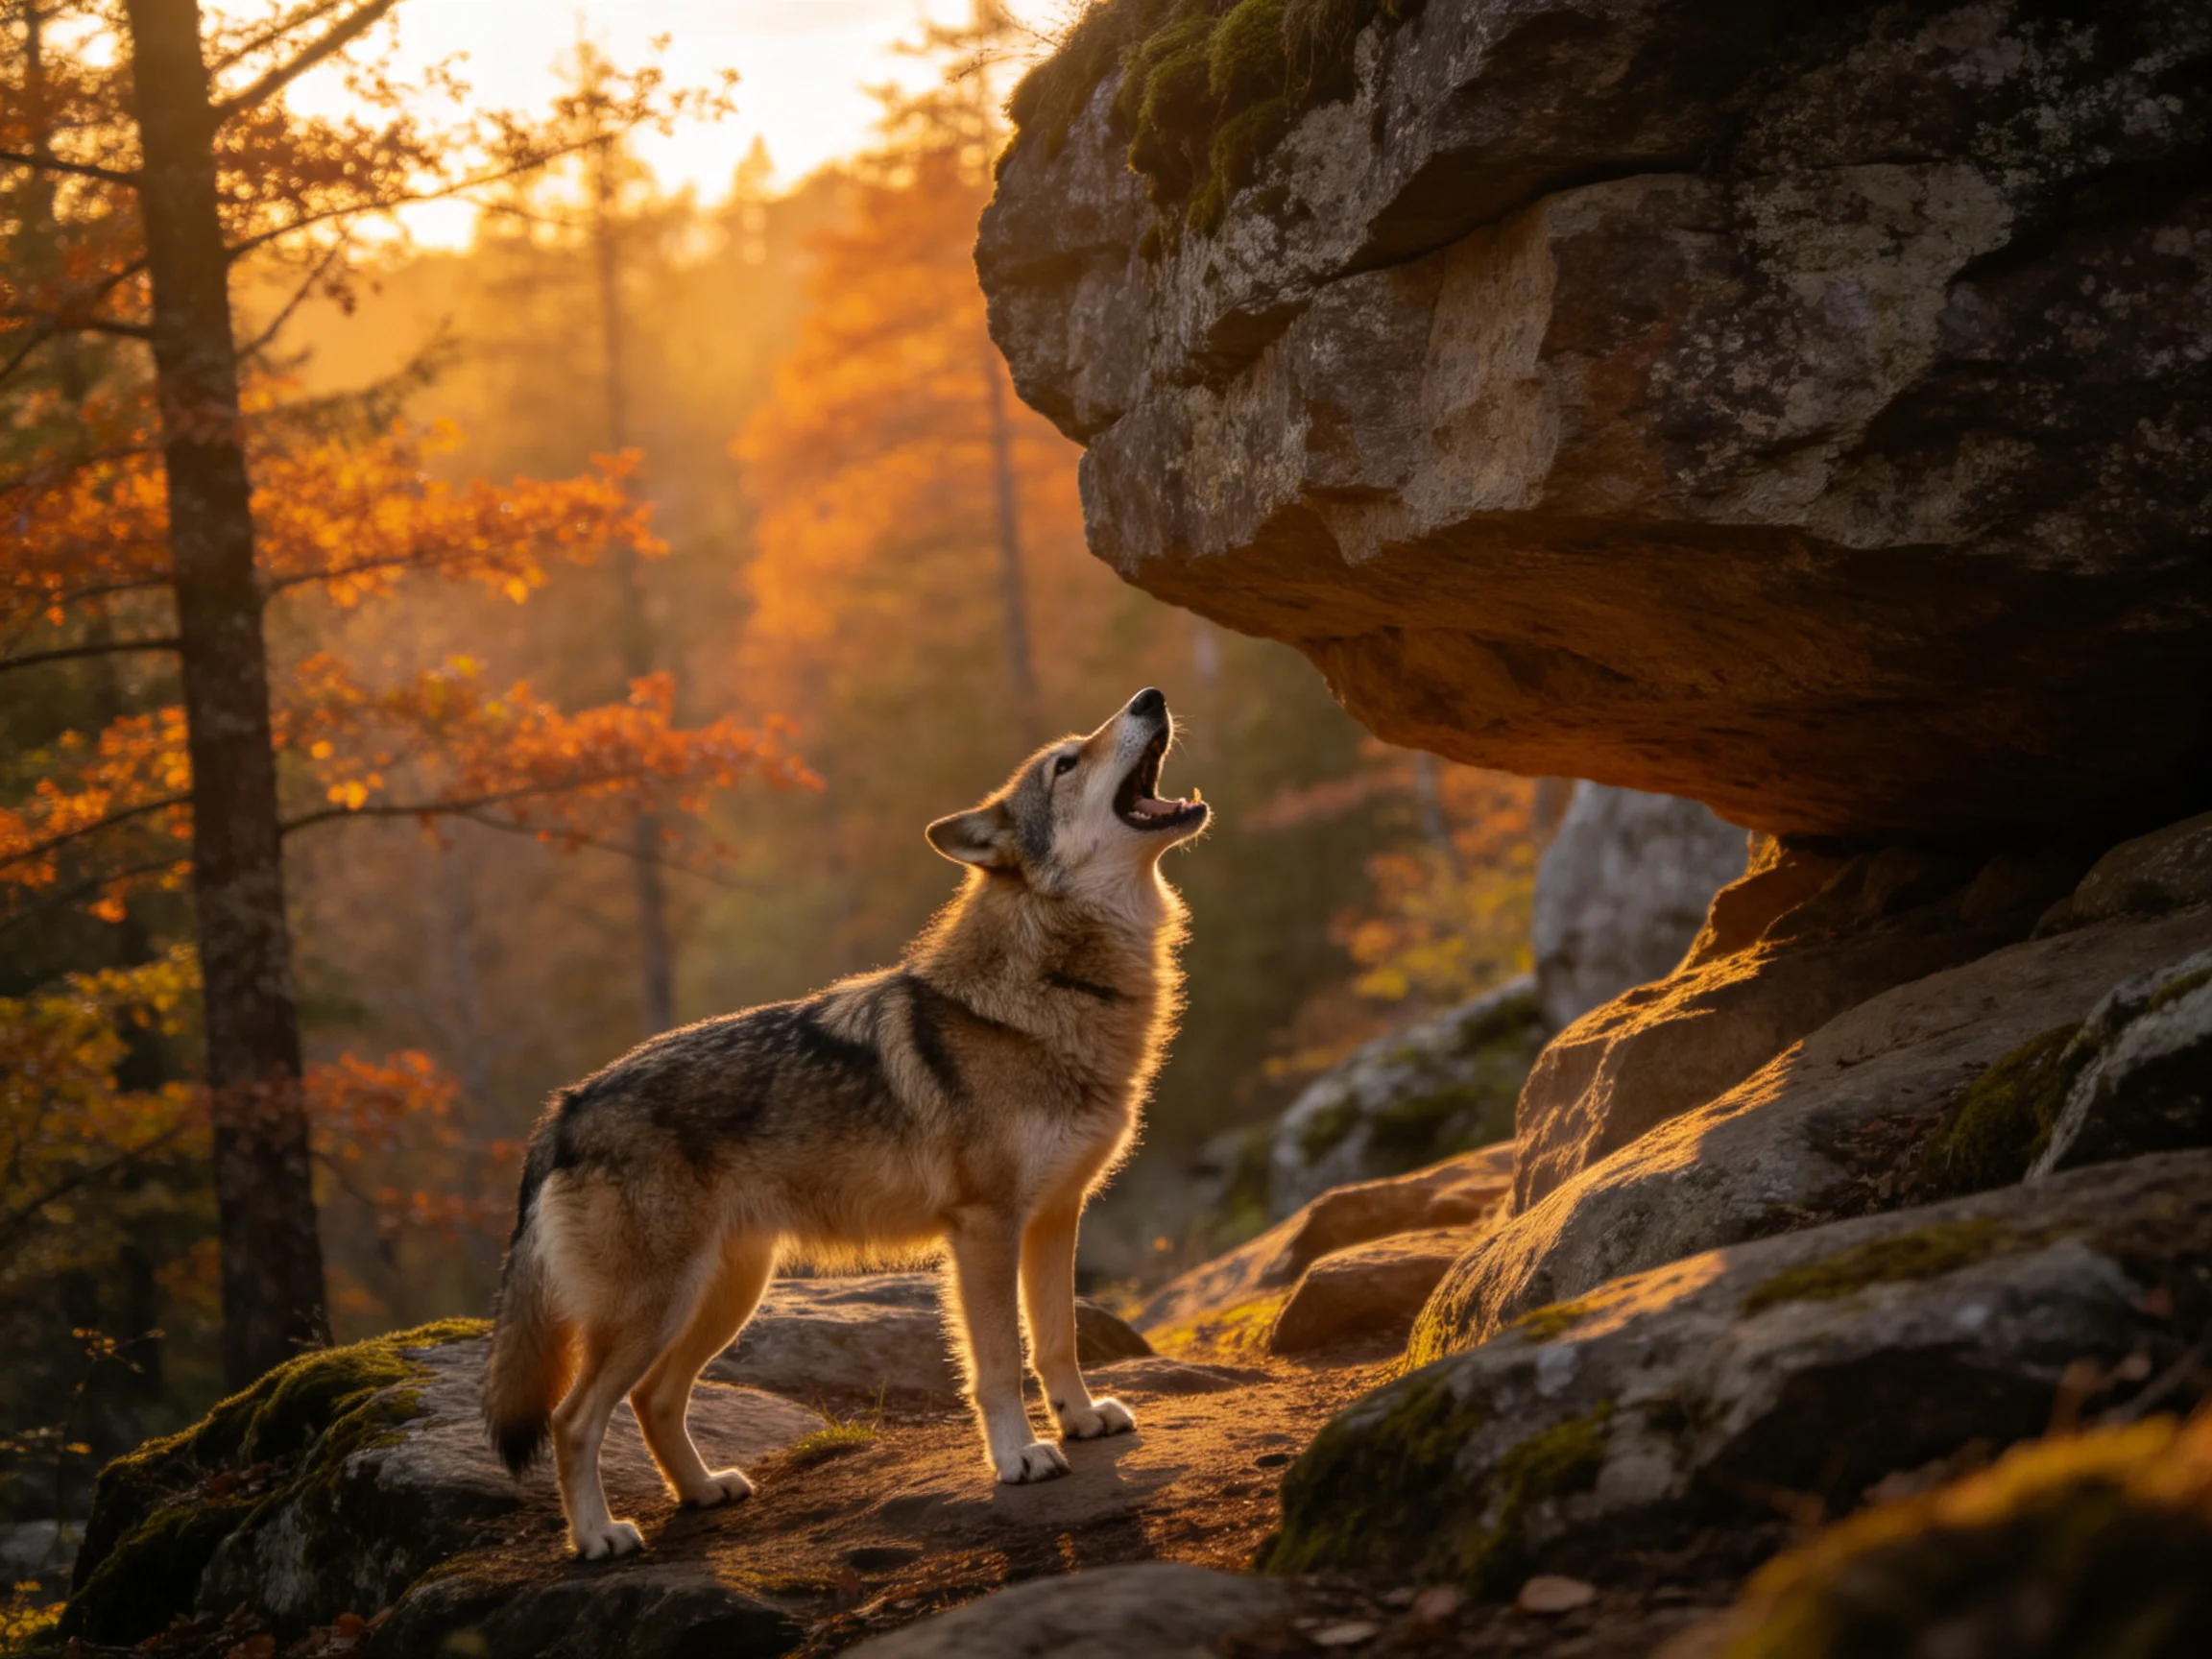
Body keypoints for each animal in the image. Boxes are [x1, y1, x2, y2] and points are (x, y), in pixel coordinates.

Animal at [481, 687, 1209, 1558]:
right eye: (1067, 763)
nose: (1150, 697)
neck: (1051, 990)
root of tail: (563, 1110)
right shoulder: (984, 1228)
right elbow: (999, 1361)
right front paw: (1020, 1457)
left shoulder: (1055, 1217)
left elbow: (1056, 1339)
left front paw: (1082, 1420)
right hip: (656, 1309)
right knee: (572, 1418)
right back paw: (599, 1538)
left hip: (724, 1295)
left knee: (654, 1400)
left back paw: (703, 1491)